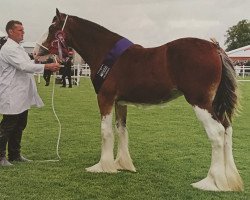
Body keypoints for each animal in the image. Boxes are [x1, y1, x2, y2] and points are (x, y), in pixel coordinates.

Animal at [34, 9, 243, 192]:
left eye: (52, 27)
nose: (36, 51)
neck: (105, 53)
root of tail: (215, 48)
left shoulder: (105, 98)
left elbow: (106, 132)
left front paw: (102, 166)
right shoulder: (120, 102)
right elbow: (121, 130)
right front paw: (121, 164)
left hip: (200, 103)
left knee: (217, 133)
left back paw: (211, 182)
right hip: (215, 105)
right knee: (227, 129)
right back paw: (229, 180)